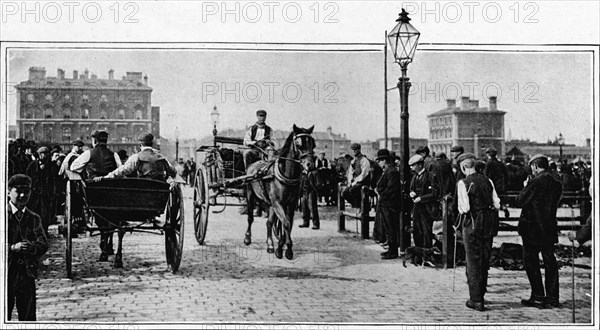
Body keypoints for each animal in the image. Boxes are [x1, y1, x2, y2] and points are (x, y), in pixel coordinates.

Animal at [245, 125, 318, 260]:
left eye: (313, 144)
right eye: (299, 145)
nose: (310, 165)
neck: (286, 175)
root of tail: (253, 165)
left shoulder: (290, 204)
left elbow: (287, 224)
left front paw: (281, 247)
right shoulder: (278, 203)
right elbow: (286, 224)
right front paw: (285, 249)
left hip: (269, 203)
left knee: (269, 222)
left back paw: (270, 244)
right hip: (250, 195)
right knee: (250, 218)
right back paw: (247, 238)